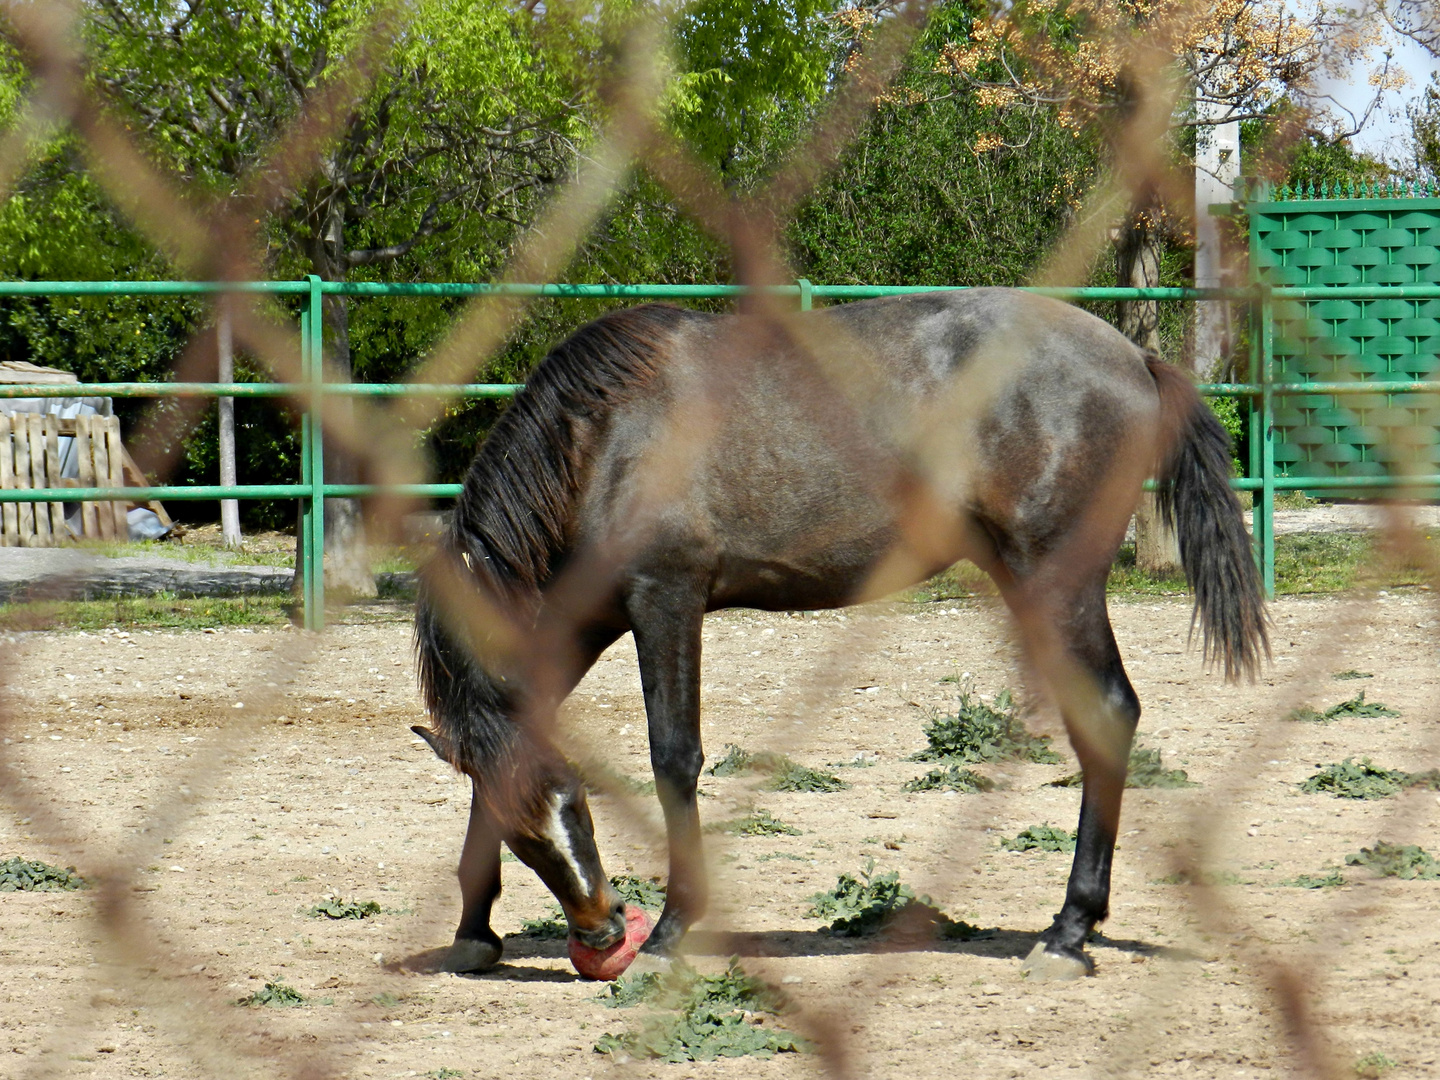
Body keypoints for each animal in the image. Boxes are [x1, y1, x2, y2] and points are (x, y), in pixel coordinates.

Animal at [406, 288, 1261, 979]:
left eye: (578, 808)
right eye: (534, 831)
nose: (605, 932)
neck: (605, 442)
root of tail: (1134, 356)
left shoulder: (665, 601)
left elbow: (675, 758)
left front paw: (674, 931)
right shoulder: (578, 629)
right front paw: (474, 930)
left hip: (1057, 583)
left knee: (1108, 717)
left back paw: (1069, 933)